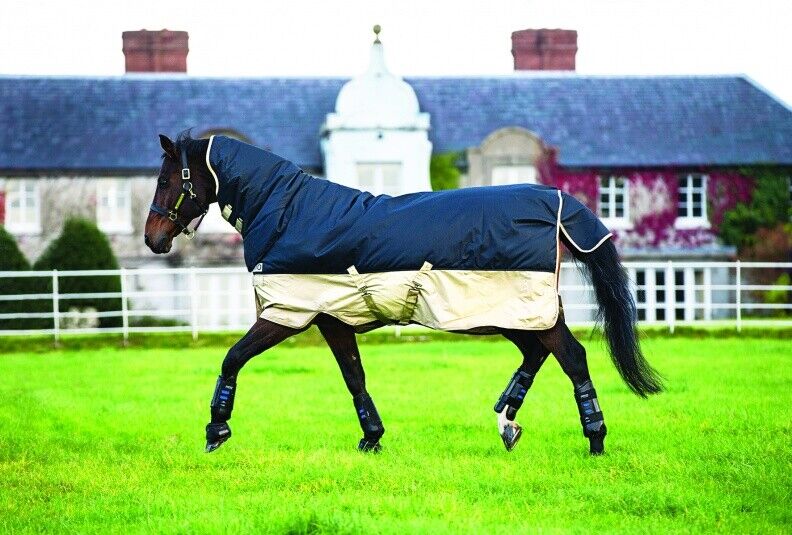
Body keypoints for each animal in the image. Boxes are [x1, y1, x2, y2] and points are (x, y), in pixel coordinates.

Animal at [144, 132, 662, 456]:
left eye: (167, 180)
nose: (153, 239)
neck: (292, 213)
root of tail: (556, 200)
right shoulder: (333, 319)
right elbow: (354, 377)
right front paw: (371, 437)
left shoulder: (286, 313)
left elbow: (233, 358)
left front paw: (216, 430)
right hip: (508, 314)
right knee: (536, 354)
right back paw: (507, 421)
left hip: (524, 311)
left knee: (572, 357)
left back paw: (594, 439)